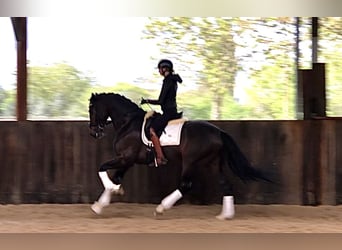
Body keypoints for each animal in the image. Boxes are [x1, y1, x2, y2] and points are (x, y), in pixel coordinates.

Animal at [88, 92, 270, 219]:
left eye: (92, 109)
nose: (94, 133)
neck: (129, 123)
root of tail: (218, 132)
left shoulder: (126, 158)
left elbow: (102, 169)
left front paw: (111, 192)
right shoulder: (128, 160)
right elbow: (116, 178)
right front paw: (100, 205)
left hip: (190, 161)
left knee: (185, 185)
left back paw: (161, 208)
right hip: (212, 163)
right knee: (225, 185)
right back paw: (225, 215)